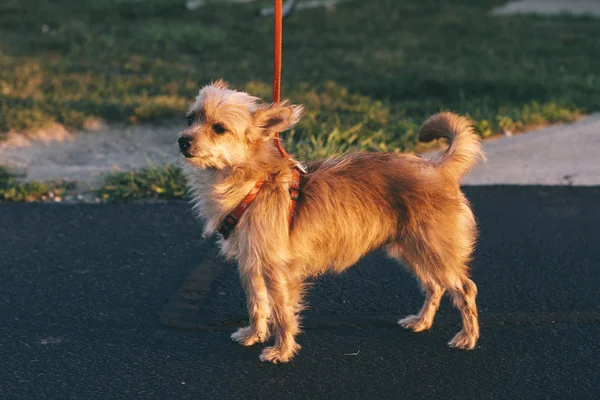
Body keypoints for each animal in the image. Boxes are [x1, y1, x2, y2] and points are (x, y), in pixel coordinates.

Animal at [177, 80, 482, 362]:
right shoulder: (251, 263)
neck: (251, 182)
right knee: (434, 285)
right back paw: (422, 321)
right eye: (190, 119)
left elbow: (282, 312)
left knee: (465, 288)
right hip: (412, 249)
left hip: (434, 249)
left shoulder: (277, 269)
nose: (183, 140)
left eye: (219, 128)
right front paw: (254, 334)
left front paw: (282, 350)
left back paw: (468, 337)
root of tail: (438, 166)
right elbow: (256, 303)